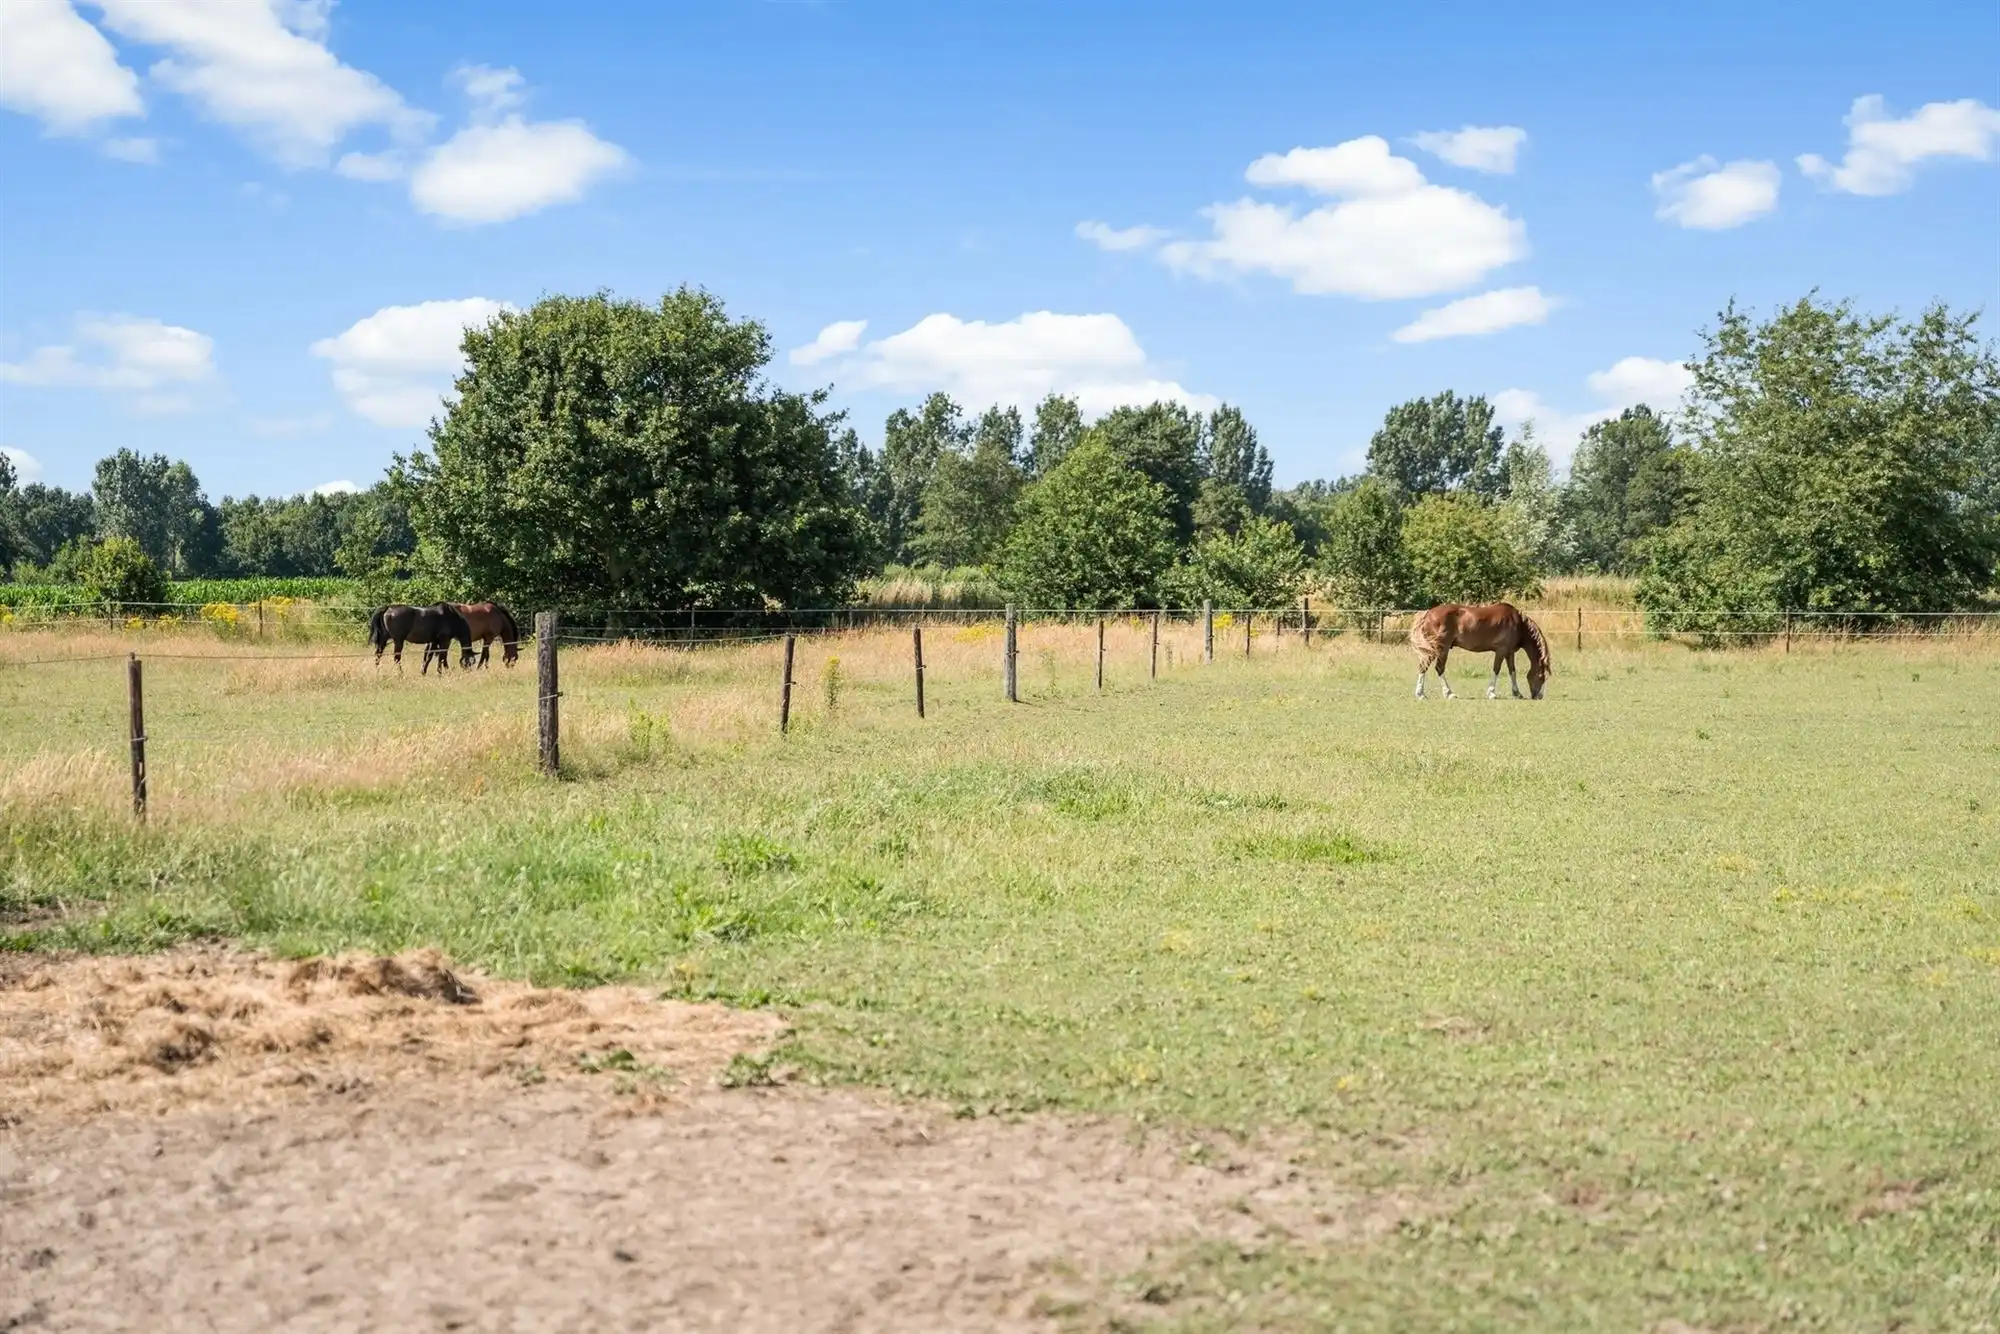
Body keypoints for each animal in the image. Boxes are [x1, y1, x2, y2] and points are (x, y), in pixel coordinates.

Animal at [1410, 601, 1550, 700]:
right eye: (1541, 676)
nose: (1539, 696)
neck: (1518, 624)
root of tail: (1428, 613)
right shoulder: (1501, 651)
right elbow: (1496, 670)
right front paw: (1492, 693)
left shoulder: (1509, 653)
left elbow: (1512, 671)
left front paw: (1517, 693)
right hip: (1441, 648)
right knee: (1436, 668)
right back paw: (1446, 693)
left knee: (1426, 667)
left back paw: (1423, 694)